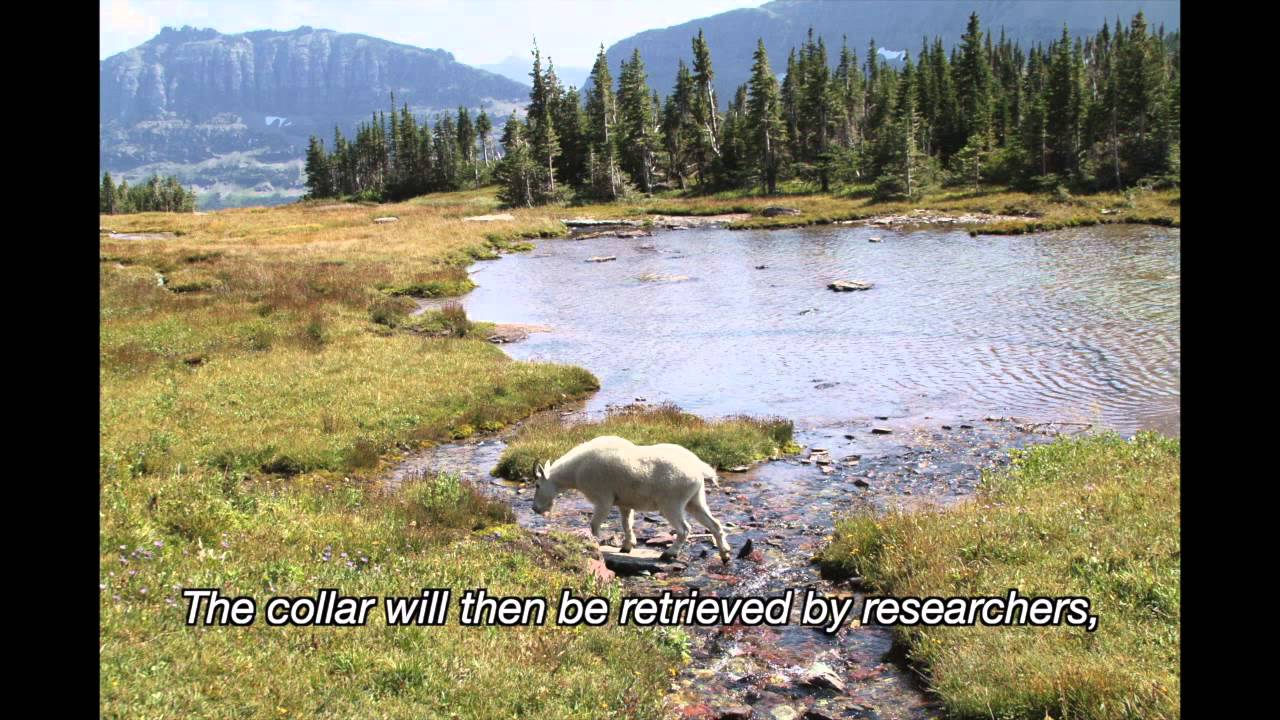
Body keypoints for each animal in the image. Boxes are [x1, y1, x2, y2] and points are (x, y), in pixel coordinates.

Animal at [531, 439, 731, 563]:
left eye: (537, 485)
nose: (535, 508)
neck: (576, 470)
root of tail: (698, 469)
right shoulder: (624, 503)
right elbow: (626, 523)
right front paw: (627, 546)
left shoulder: (602, 498)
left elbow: (594, 524)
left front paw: (597, 544)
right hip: (695, 498)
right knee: (714, 524)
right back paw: (725, 553)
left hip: (672, 502)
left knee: (684, 529)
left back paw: (669, 553)